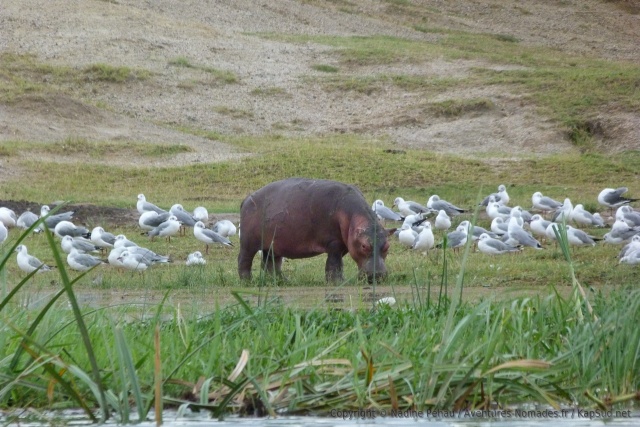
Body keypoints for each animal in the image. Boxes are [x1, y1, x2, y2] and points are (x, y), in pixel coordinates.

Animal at [238, 178, 394, 283]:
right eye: (364, 246)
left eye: (387, 246)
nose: (378, 276)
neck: (353, 217)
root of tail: (246, 199)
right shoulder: (334, 243)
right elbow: (334, 263)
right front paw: (337, 282)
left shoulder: (343, 244)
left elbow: (335, 264)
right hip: (248, 243)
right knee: (244, 260)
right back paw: (247, 281)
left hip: (273, 245)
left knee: (270, 263)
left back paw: (283, 281)